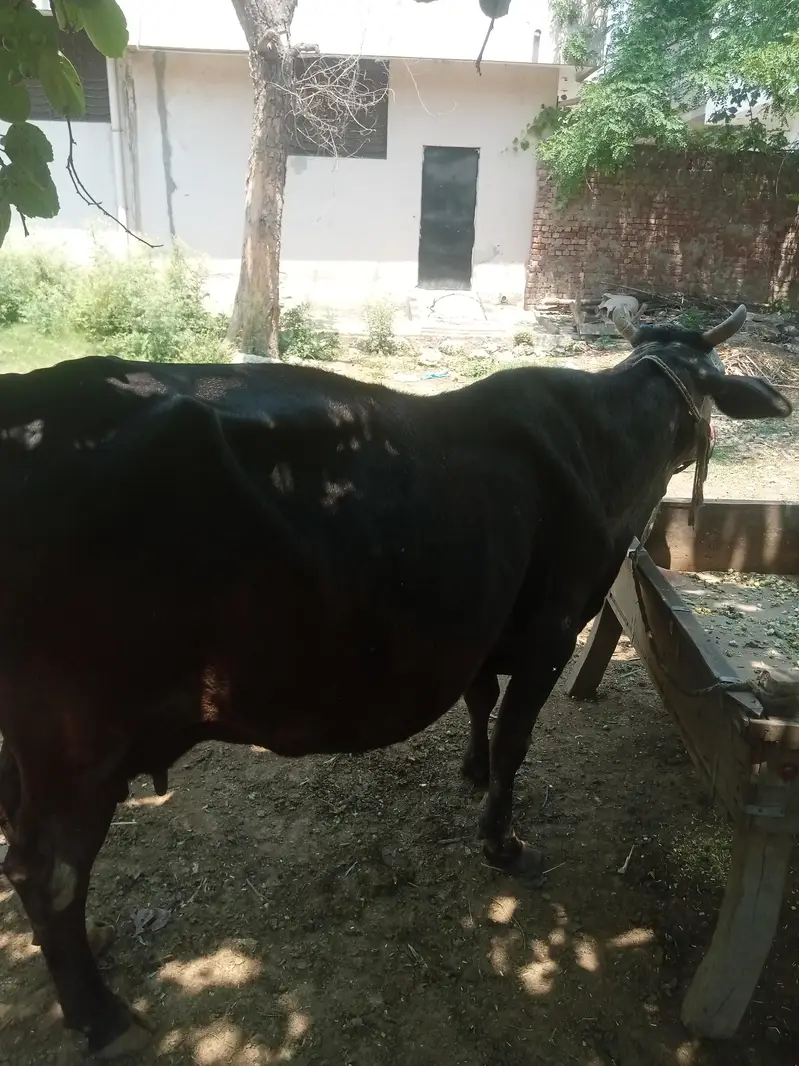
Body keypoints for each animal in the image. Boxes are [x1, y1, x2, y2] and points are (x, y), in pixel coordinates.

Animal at [0, 303, 791, 1057]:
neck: (603, 446)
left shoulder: (484, 628)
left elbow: (480, 701)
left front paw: (472, 770)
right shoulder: (551, 630)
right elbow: (514, 738)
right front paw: (502, 840)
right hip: (76, 743)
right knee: (48, 872)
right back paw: (101, 1016)